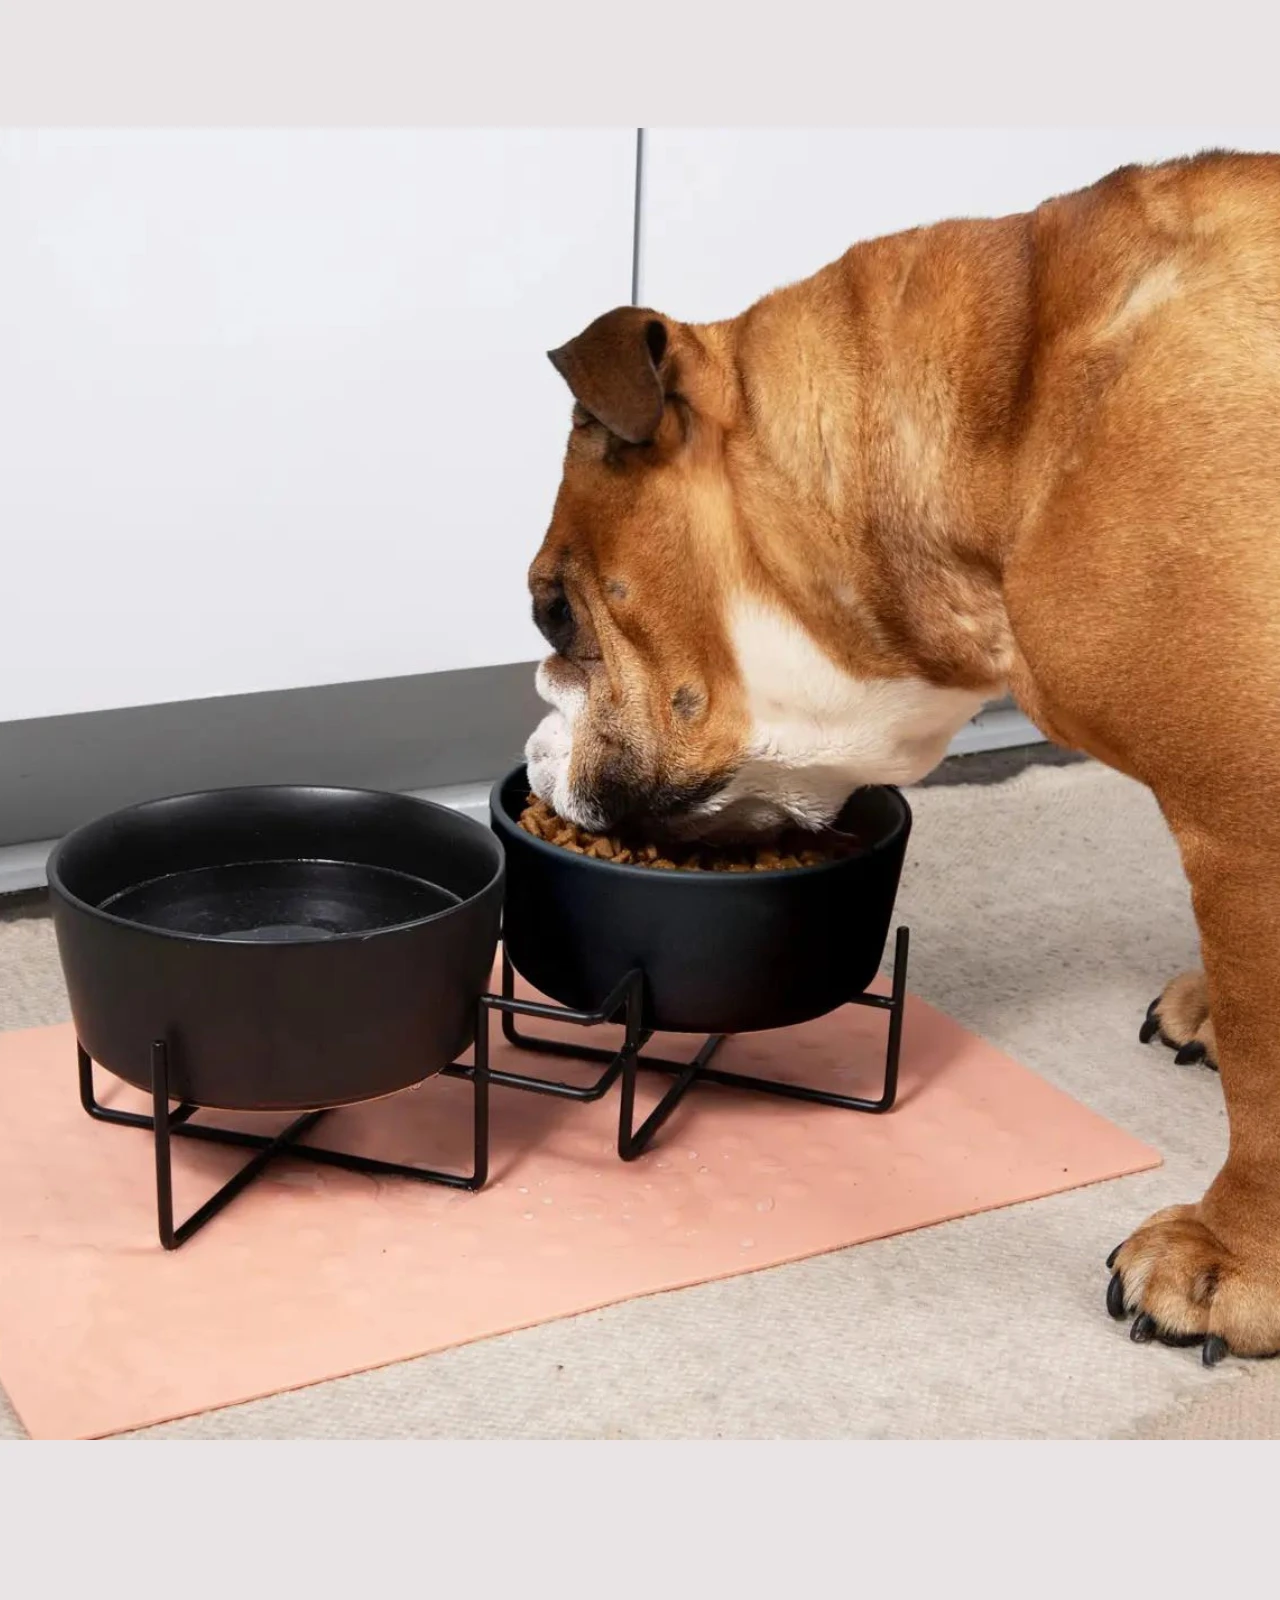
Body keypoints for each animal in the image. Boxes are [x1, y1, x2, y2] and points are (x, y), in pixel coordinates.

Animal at [524, 149, 1280, 1364]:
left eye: (553, 612)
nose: (537, 748)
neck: (1014, 435)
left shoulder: (1246, 817)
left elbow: (1269, 1069)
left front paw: (1234, 1257)